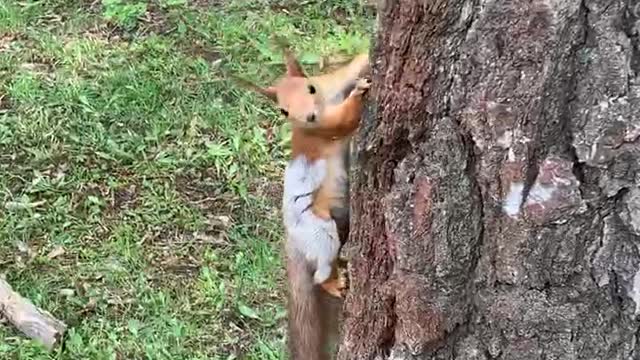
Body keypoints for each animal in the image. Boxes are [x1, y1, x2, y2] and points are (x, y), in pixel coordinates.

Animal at [234, 40, 370, 358]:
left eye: (310, 87)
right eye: (282, 111)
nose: (309, 117)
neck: (325, 105)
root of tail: (292, 241)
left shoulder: (331, 83)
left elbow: (349, 69)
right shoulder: (323, 130)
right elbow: (344, 121)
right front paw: (358, 93)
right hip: (320, 231)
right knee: (319, 274)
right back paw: (333, 283)